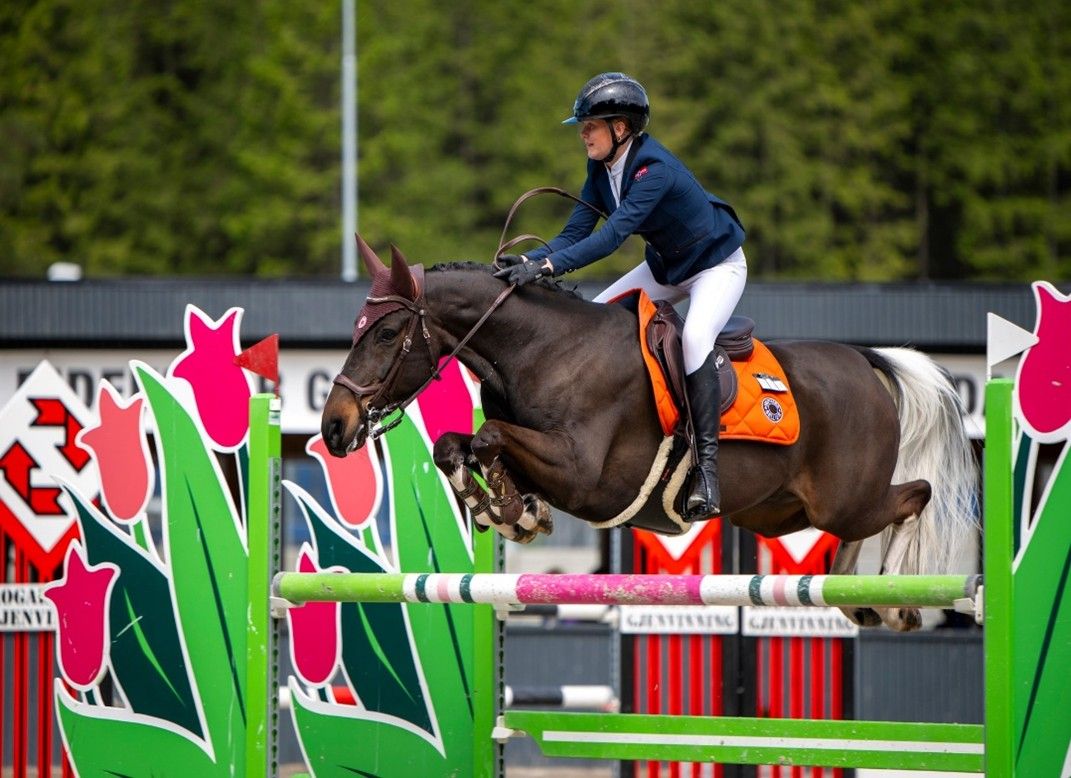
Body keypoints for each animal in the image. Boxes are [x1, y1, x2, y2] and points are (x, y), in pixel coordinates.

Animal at [321, 237, 979, 631]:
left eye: (385, 334)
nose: (334, 426)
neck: (542, 350)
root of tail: (866, 362)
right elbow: (453, 444)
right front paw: (509, 509)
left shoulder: (584, 476)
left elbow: (488, 437)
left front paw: (511, 511)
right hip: (781, 512)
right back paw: (854, 593)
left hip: (847, 498)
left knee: (914, 496)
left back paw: (892, 599)